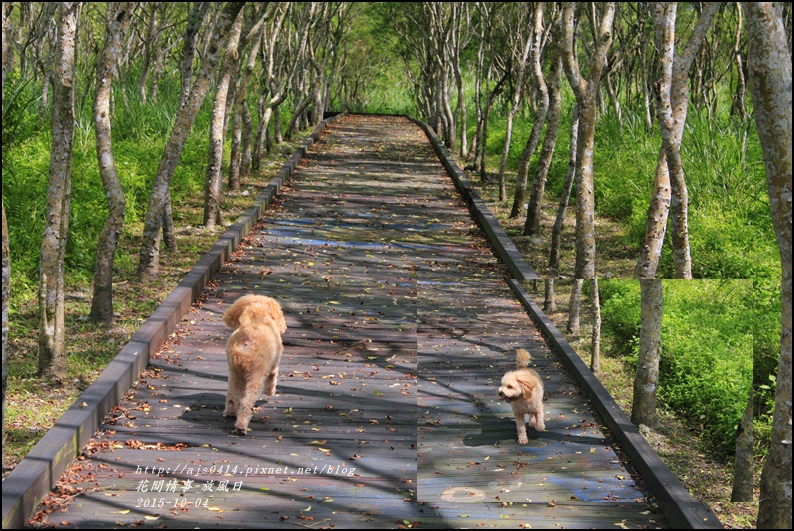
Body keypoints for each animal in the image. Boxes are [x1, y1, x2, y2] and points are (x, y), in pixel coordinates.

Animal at [221, 296, 286, 436]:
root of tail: (247, 332)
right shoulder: (272, 365)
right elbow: (273, 377)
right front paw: (269, 391)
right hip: (256, 374)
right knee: (246, 402)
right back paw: (241, 427)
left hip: (235, 373)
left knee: (232, 396)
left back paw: (230, 413)